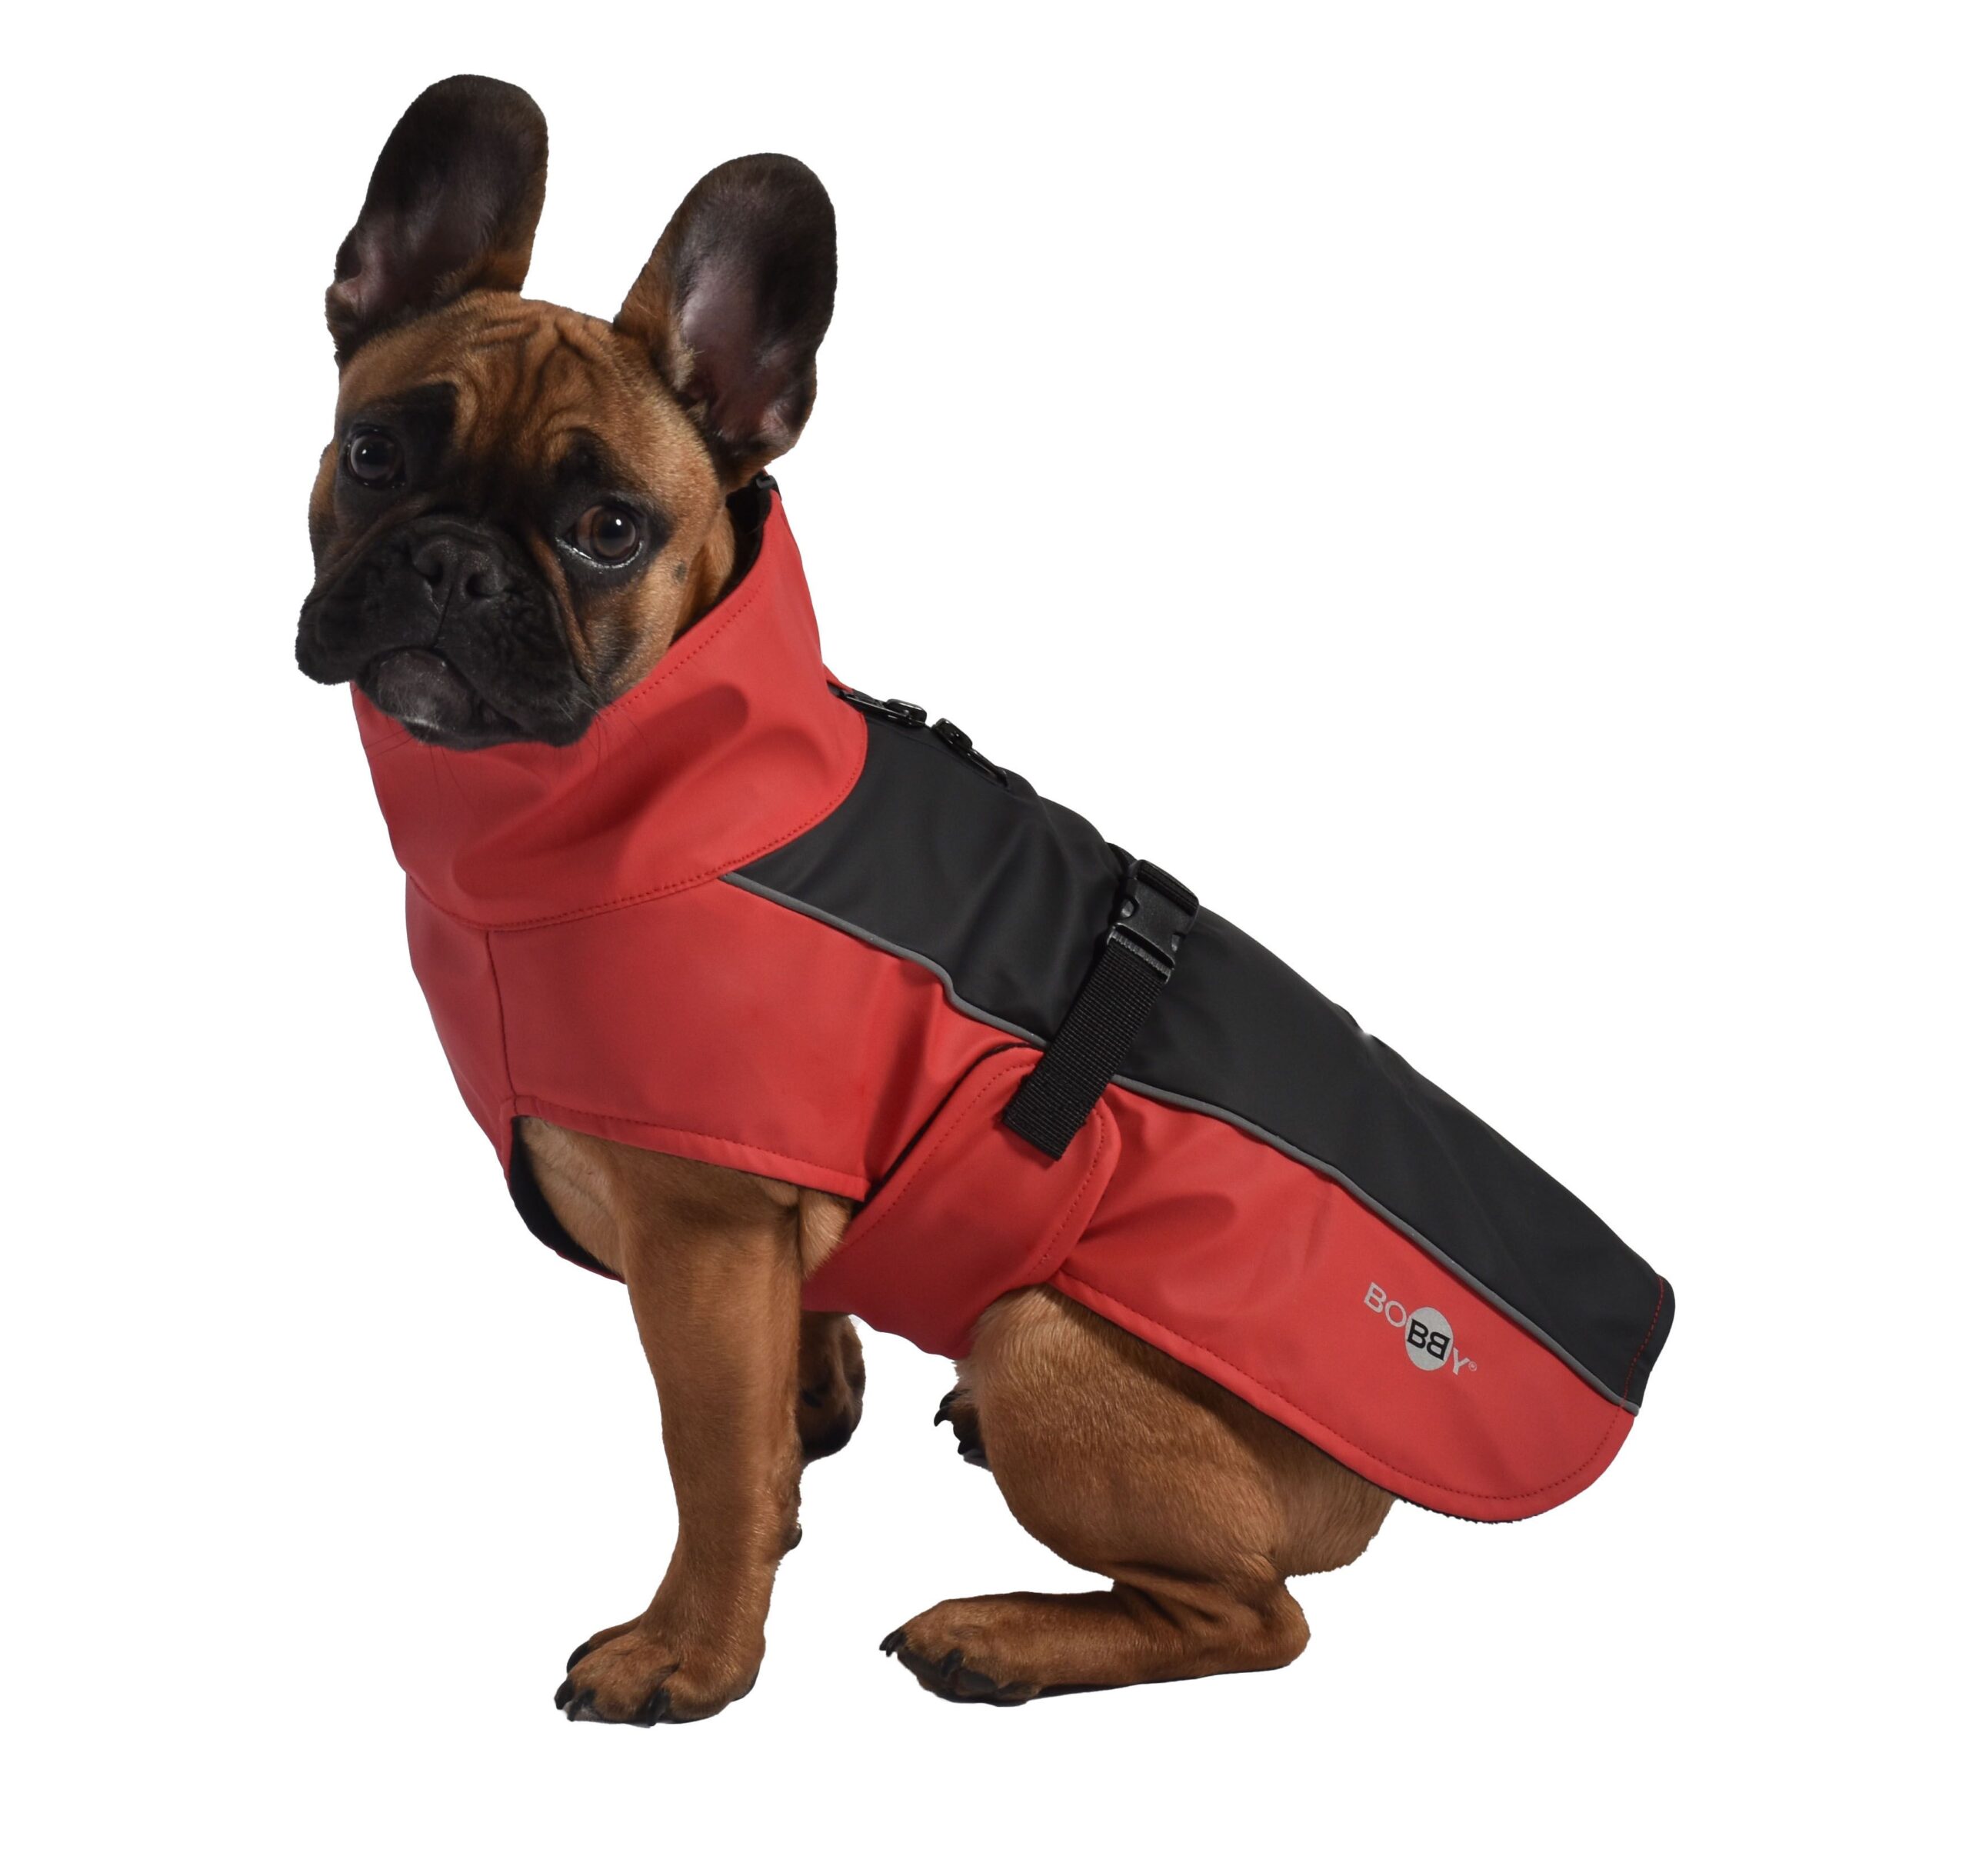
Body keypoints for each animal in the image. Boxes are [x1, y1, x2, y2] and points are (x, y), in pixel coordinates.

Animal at [297, 76, 1670, 1722]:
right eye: (374, 454)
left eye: (609, 529)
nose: (450, 565)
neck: (662, 790)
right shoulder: (758, 1222)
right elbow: (780, 1386)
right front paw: (814, 1406)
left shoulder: (699, 1227)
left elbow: (711, 1467)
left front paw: (690, 1653)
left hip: (1041, 1340)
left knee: (1254, 1614)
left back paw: (1002, 1632)